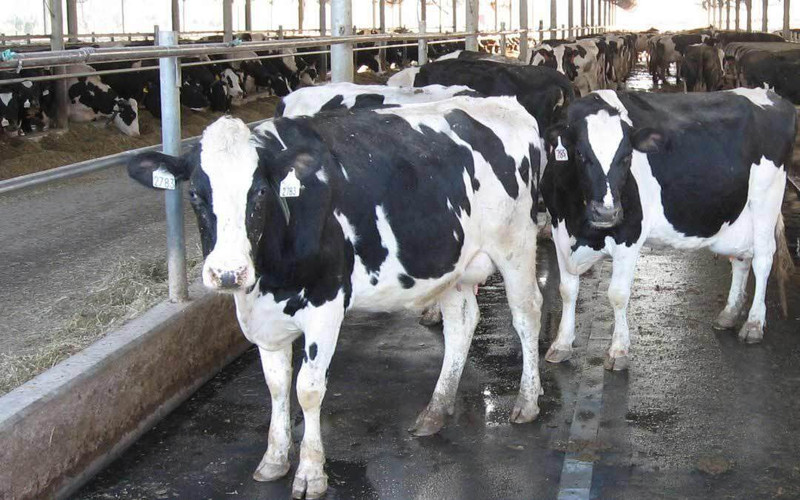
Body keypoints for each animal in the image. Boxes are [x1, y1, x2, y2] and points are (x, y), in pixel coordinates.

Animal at [127, 95, 546, 499]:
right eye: (195, 194)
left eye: (259, 192)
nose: (228, 272)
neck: (270, 276)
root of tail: (505, 103)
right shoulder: (263, 318)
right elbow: (276, 386)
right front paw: (274, 459)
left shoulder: (325, 304)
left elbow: (308, 390)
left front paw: (311, 473)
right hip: (454, 264)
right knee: (461, 324)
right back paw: (436, 410)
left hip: (516, 246)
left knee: (527, 315)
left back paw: (527, 401)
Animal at [541, 88, 796, 372]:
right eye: (580, 154)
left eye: (626, 157)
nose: (606, 212)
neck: (578, 221)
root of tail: (771, 95)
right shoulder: (559, 231)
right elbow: (567, 290)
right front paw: (561, 344)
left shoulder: (630, 235)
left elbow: (617, 294)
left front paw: (618, 350)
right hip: (737, 216)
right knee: (741, 258)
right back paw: (729, 314)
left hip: (766, 200)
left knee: (763, 259)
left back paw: (753, 324)